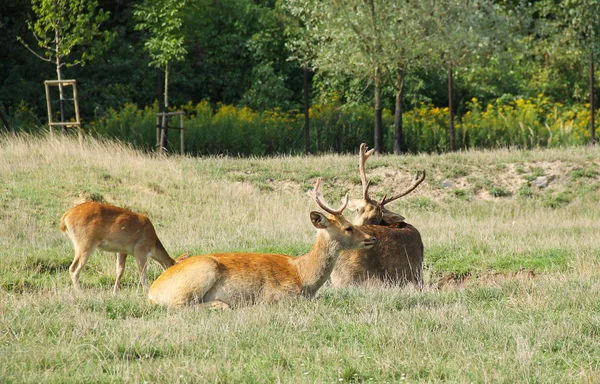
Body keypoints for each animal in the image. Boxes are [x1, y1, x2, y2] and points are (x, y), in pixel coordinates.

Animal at [146, 178, 376, 308]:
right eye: (348, 227)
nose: (371, 238)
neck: (303, 276)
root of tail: (152, 293)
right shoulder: (277, 294)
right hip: (202, 271)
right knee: (179, 305)